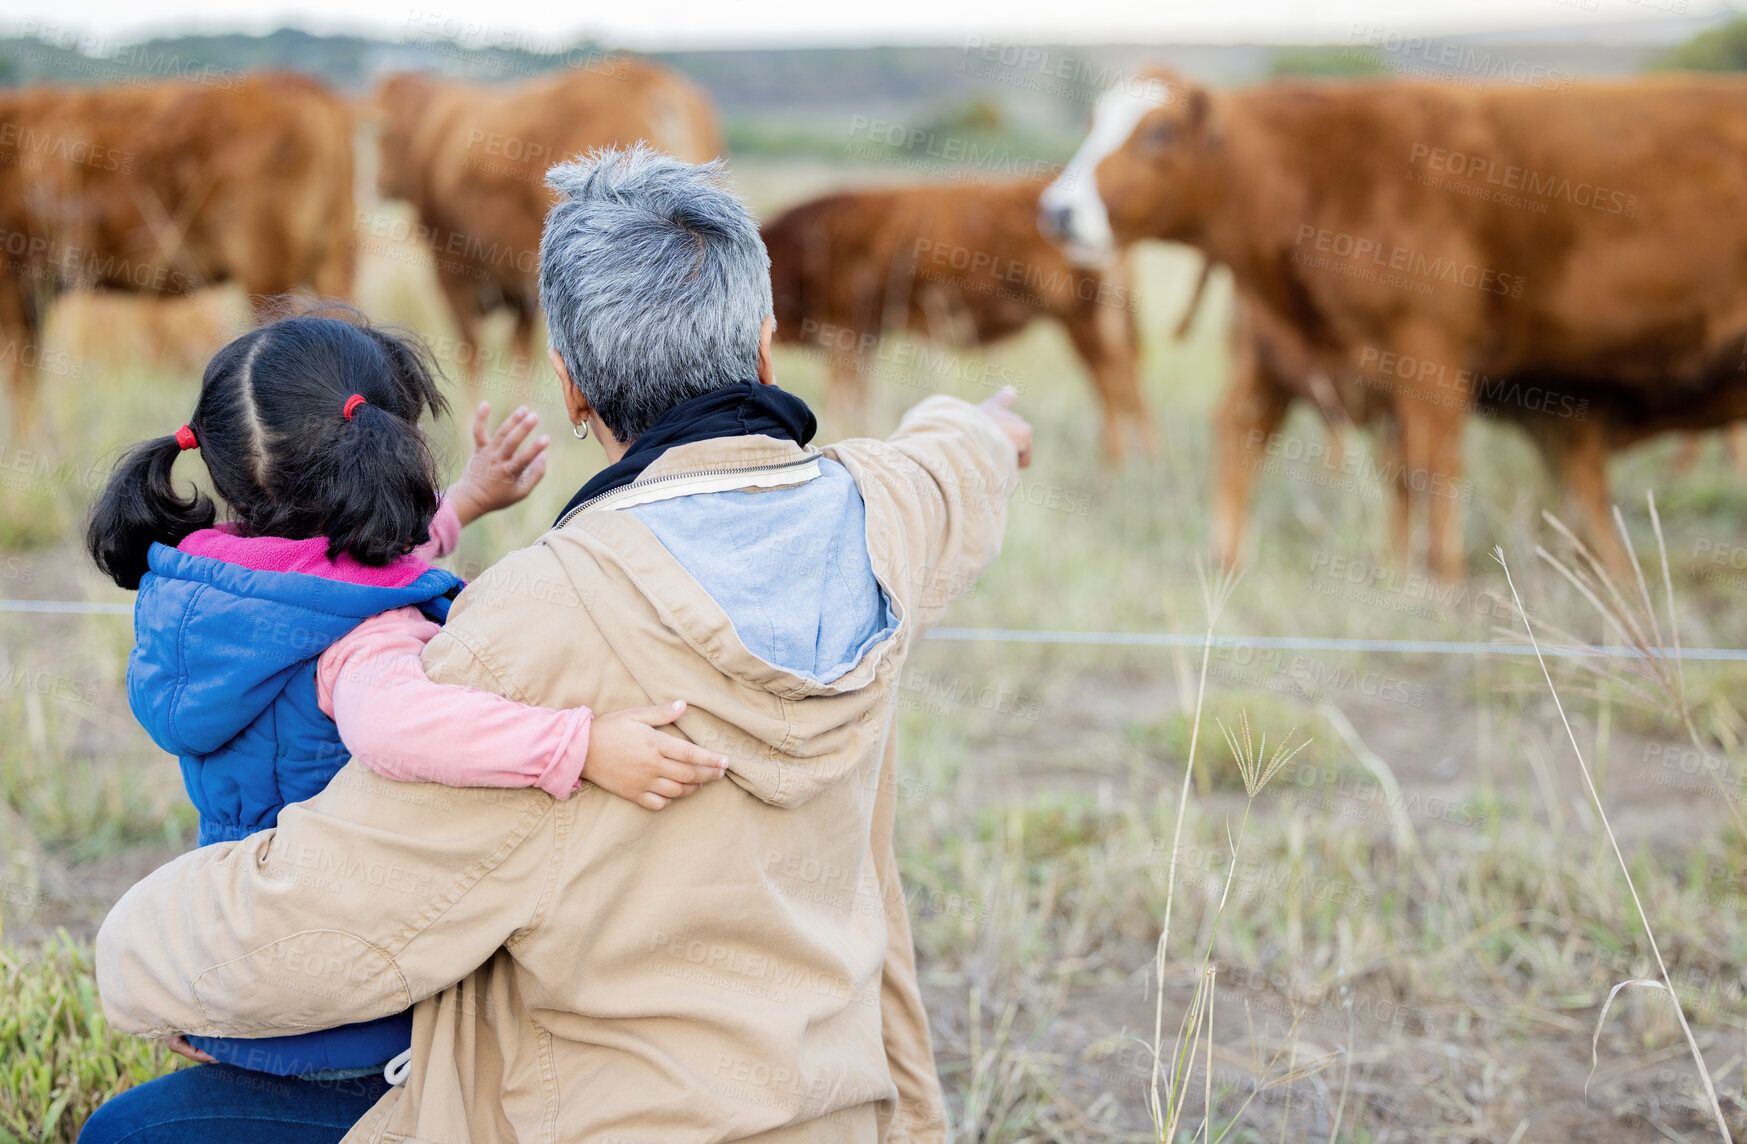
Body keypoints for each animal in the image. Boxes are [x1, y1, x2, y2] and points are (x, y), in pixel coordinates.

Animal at [372, 58, 719, 389]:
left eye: (385, 132)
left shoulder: (452, 275)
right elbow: (520, 359)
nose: (382, 183)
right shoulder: (518, 289)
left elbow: (473, 359)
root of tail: (648, 78)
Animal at [1041, 67, 1747, 576]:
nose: (1057, 210)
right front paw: (1390, 570)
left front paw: (1440, 583)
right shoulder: (1303, 359)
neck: (1320, 179)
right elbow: (1381, 470)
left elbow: (1432, 470)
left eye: (1157, 133)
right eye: (1092, 122)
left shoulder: (1429, 365)